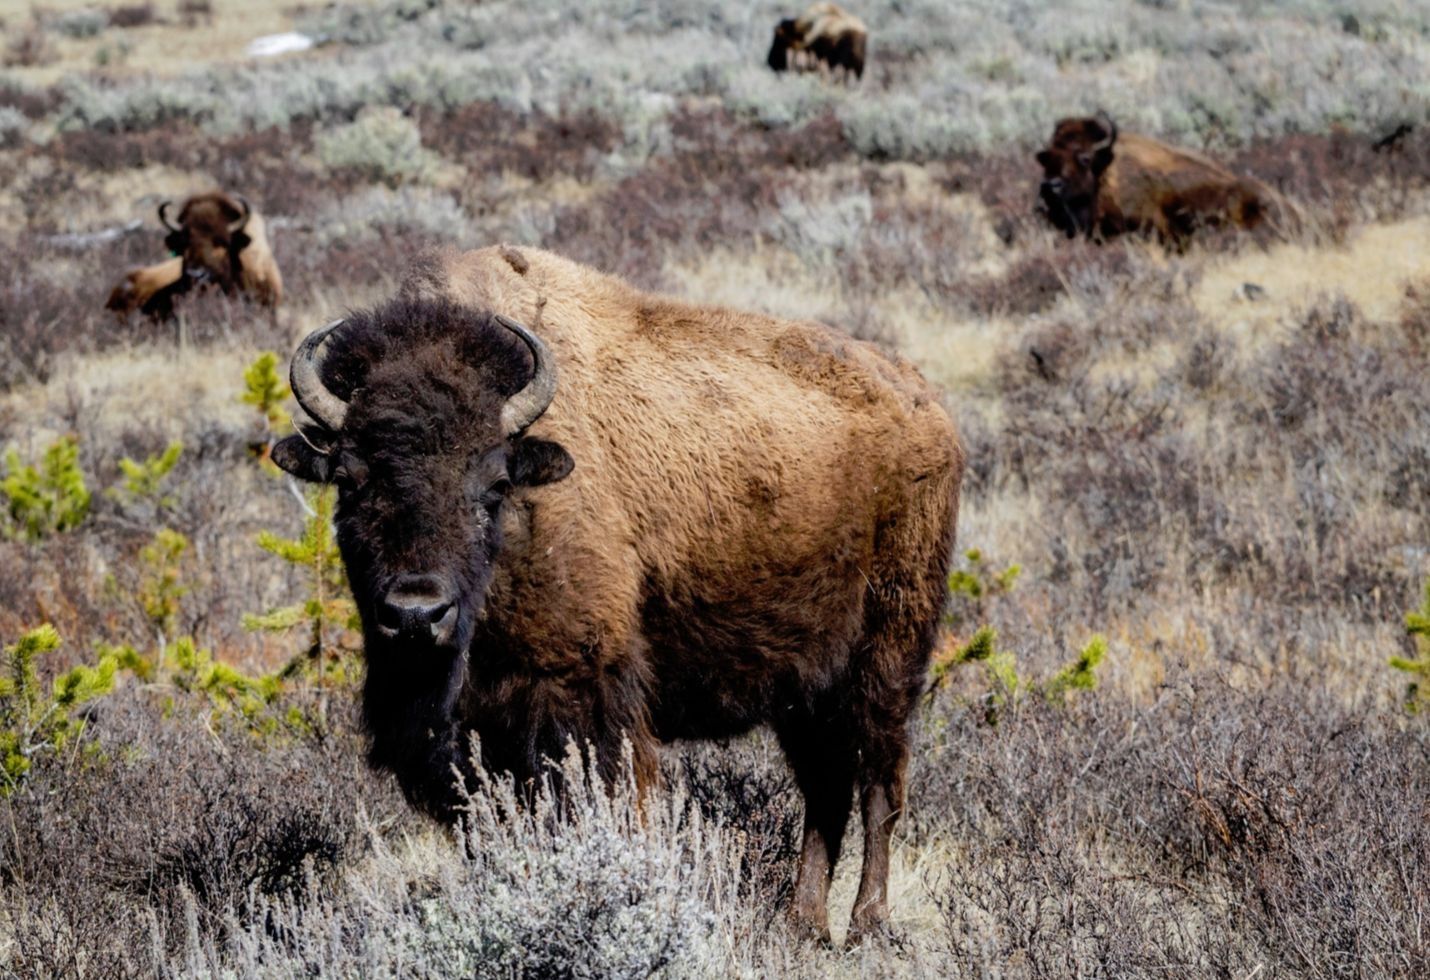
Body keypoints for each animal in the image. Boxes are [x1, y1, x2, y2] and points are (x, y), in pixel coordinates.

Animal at [271, 245, 965, 943]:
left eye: (494, 483)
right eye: (350, 480)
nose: (416, 614)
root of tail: (928, 406)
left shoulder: (583, 698)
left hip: (888, 656)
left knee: (880, 783)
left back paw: (867, 923)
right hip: (805, 687)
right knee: (825, 789)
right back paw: (802, 924)